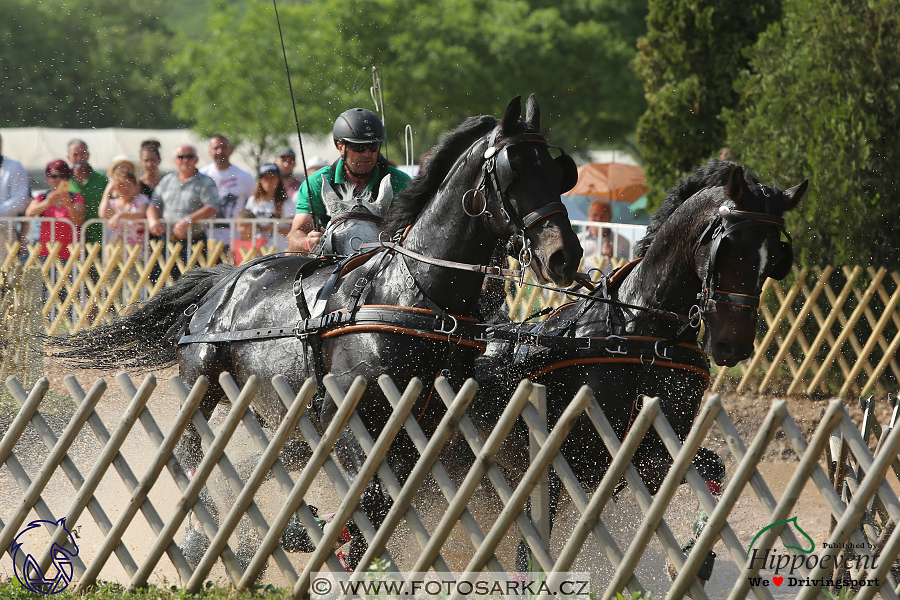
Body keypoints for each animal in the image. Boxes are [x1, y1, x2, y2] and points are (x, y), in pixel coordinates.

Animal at [51, 95, 584, 572]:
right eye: (515, 173)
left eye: (558, 173)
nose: (565, 256)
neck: (415, 297)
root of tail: (227, 278)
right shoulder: (345, 418)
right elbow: (364, 497)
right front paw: (313, 536)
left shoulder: (421, 429)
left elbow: (384, 502)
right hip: (202, 383)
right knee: (191, 459)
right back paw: (202, 534)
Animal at [472, 159, 808, 572]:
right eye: (728, 249)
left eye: (774, 258)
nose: (734, 345)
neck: (642, 334)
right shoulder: (573, 461)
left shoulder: (654, 452)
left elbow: (712, 471)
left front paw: (694, 554)